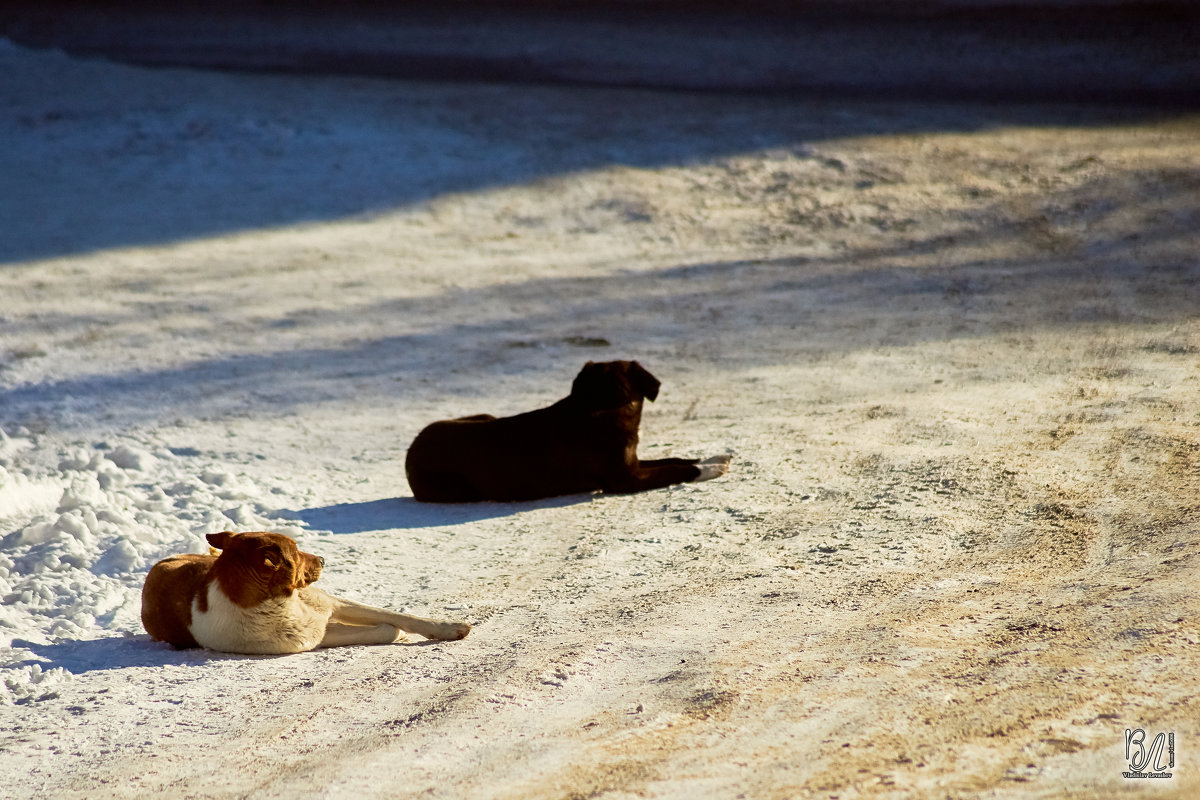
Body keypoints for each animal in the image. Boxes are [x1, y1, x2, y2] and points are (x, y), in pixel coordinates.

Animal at [142, 527, 470, 652]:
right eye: (297, 552)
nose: (323, 559)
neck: (279, 605)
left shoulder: (330, 605)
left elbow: (398, 616)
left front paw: (448, 627)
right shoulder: (315, 635)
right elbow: (386, 629)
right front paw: (396, 633)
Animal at [403, 362, 724, 503]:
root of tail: (411, 451)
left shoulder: (633, 462)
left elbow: (676, 459)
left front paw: (713, 458)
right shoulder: (624, 479)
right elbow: (674, 470)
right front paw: (710, 469)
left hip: (482, 416)